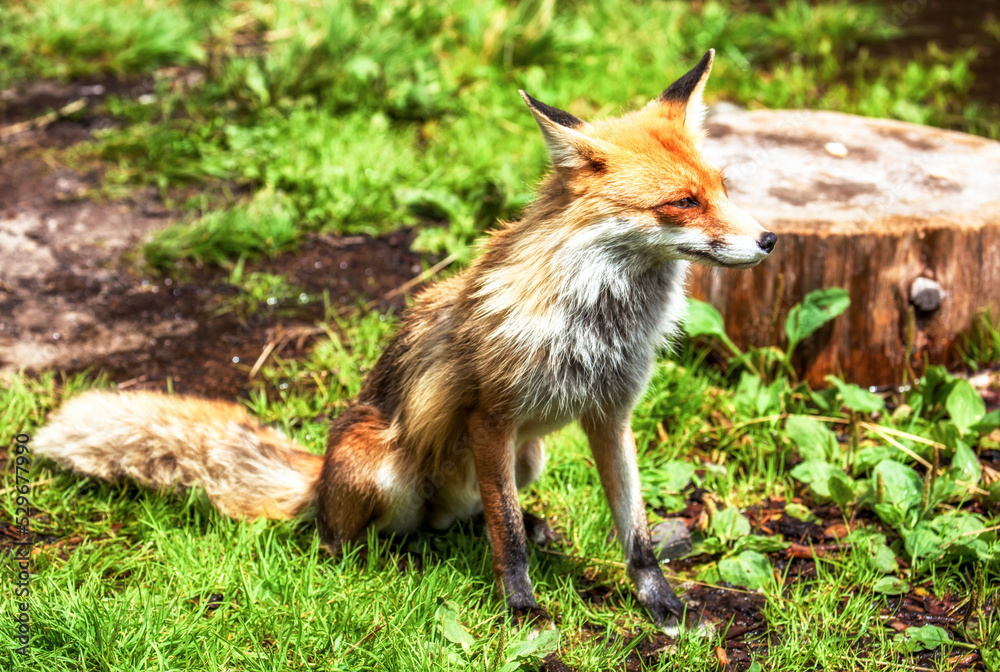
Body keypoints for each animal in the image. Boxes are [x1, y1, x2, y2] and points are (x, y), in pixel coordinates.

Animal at [33, 50, 775, 625]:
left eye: (720, 188)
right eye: (681, 202)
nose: (770, 239)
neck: (598, 321)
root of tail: (319, 476)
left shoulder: (610, 414)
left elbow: (635, 533)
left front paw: (661, 604)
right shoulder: (491, 416)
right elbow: (508, 539)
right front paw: (523, 610)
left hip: (530, 456)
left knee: (468, 516)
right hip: (388, 469)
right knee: (348, 543)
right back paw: (396, 559)